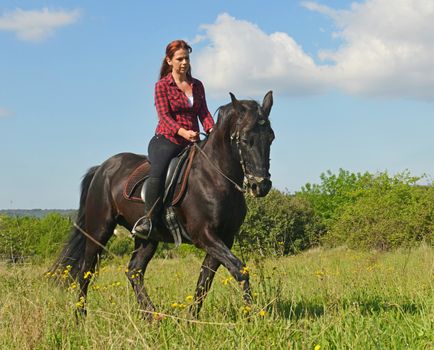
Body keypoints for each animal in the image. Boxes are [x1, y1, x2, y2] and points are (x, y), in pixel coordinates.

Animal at [50, 91, 274, 320]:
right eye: (245, 139)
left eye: (271, 138)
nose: (261, 185)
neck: (216, 177)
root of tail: (102, 168)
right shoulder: (204, 235)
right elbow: (239, 270)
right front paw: (254, 315)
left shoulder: (224, 238)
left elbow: (205, 279)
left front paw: (192, 319)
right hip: (99, 230)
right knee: (86, 270)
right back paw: (80, 316)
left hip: (148, 238)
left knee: (134, 271)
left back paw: (152, 316)